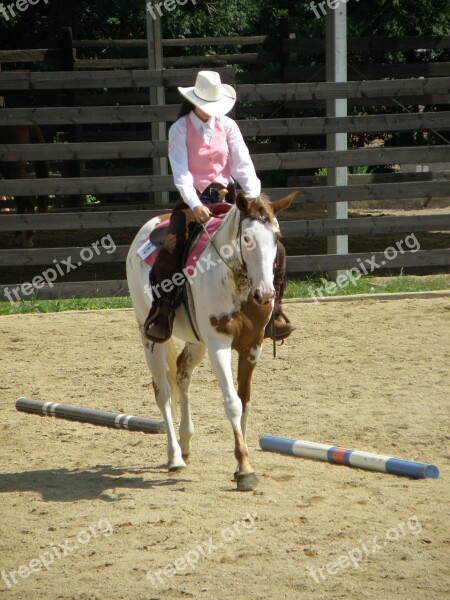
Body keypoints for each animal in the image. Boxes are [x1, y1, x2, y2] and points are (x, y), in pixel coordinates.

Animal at [126, 192, 296, 492]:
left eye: (276, 236)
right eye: (247, 238)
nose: (265, 294)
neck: (238, 284)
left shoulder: (253, 346)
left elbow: (245, 401)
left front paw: (240, 464)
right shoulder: (219, 345)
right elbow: (232, 403)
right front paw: (245, 470)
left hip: (197, 342)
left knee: (182, 374)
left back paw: (185, 443)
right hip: (149, 337)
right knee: (163, 391)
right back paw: (174, 456)